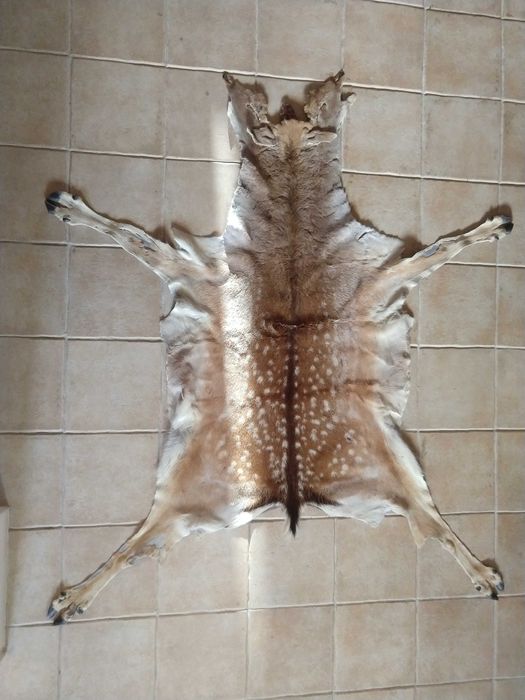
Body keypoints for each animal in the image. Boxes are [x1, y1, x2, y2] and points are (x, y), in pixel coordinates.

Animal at [45, 70, 510, 624]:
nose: (326, 82)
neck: (290, 234)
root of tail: (290, 493)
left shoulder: (377, 278)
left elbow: (441, 248)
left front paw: (496, 226)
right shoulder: (206, 276)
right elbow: (132, 236)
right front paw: (67, 207)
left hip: (398, 467)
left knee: (432, 521)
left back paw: (487, 575)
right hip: (185, 484)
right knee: (141, 541)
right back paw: (71, 598)